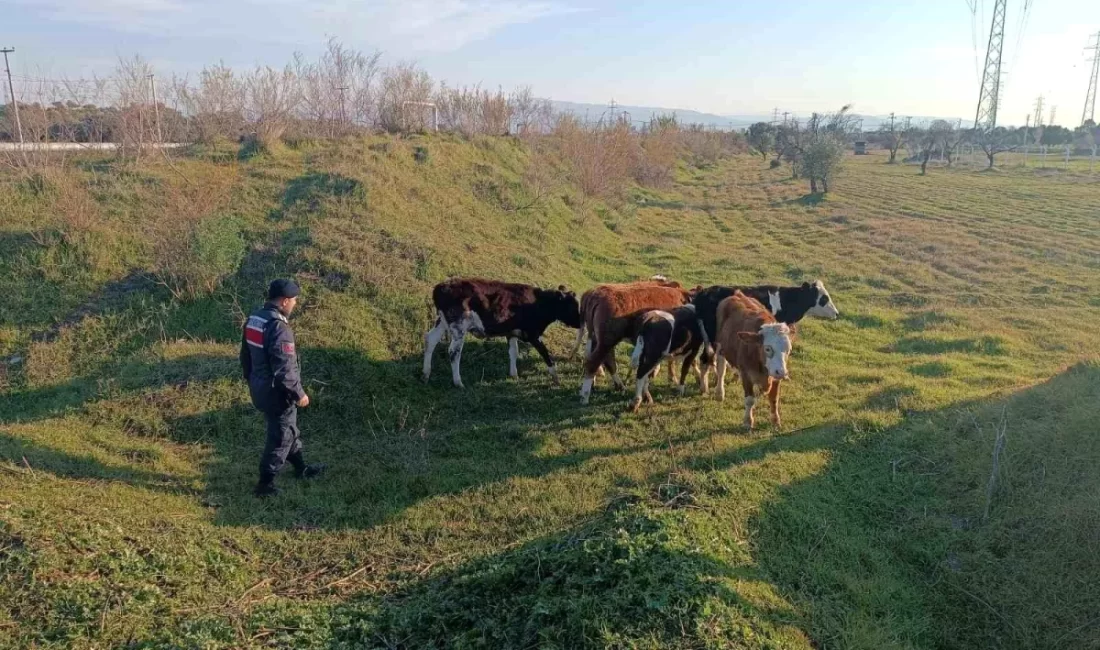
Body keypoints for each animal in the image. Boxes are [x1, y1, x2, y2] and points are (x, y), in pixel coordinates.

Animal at [418, 278, 580, 389]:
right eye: (571, 306)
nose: (580, 322)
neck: (538, 303)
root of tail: (442, 286)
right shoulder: (533, 334)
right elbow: (546, 354)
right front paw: (556, 379)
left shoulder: (512, 333)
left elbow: (513, 352)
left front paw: (514, 375)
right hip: (459, 327)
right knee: (453, 352)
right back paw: (458, 382)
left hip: (442, 322)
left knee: (430, 340)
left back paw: (426, 375)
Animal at [708, 292, 796, 428]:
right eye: (767, 348)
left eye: (789, 349)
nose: (781, 372)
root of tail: (737, 294)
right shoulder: (746, 375)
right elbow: (749, 400)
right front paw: (748, 421)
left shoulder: (775, 377)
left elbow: (774, 398)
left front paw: (775, 420)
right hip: (720, 347)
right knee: (721, 369)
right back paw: (719, 393)